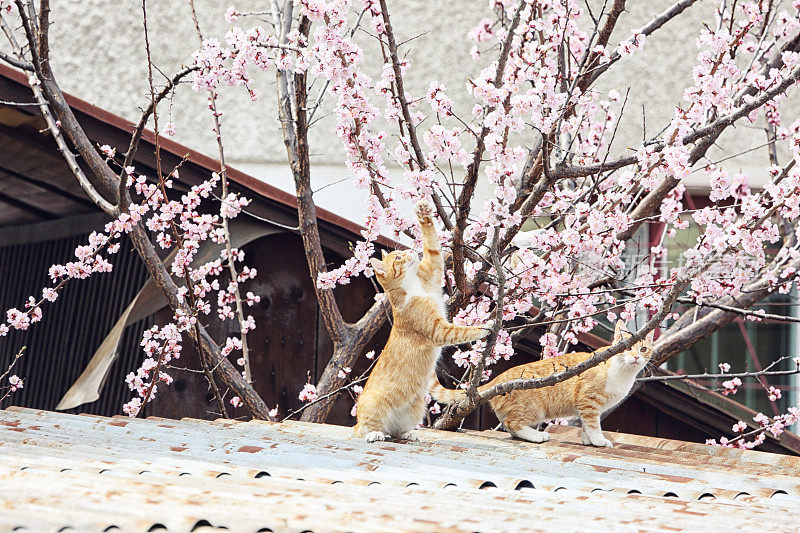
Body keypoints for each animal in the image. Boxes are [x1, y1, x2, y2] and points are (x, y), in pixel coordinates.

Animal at [356, 200, 494, 440]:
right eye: (398, 258)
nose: (410, 251)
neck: (414, 286)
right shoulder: (439, 330)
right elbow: (462, 331)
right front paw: (484, 327)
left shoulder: (434, 268)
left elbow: (432, 245)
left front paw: (424, 212)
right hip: (375, 404)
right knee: (363, 428)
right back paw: (374, 434)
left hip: (416, 407)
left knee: (395, 431)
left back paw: (407, 434)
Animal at [434, 322, 652, 446]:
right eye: (628, 348)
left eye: (643, 349)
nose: (635, 357)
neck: (623, 373)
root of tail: (499, 378)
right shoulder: (588, 401)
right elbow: (592, 424)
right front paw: (598, 440)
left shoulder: (586, 407)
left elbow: (585, 425)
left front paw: (587, 440)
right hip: (534, 408)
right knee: (513, 422)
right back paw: (537, 436)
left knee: (509, 425)